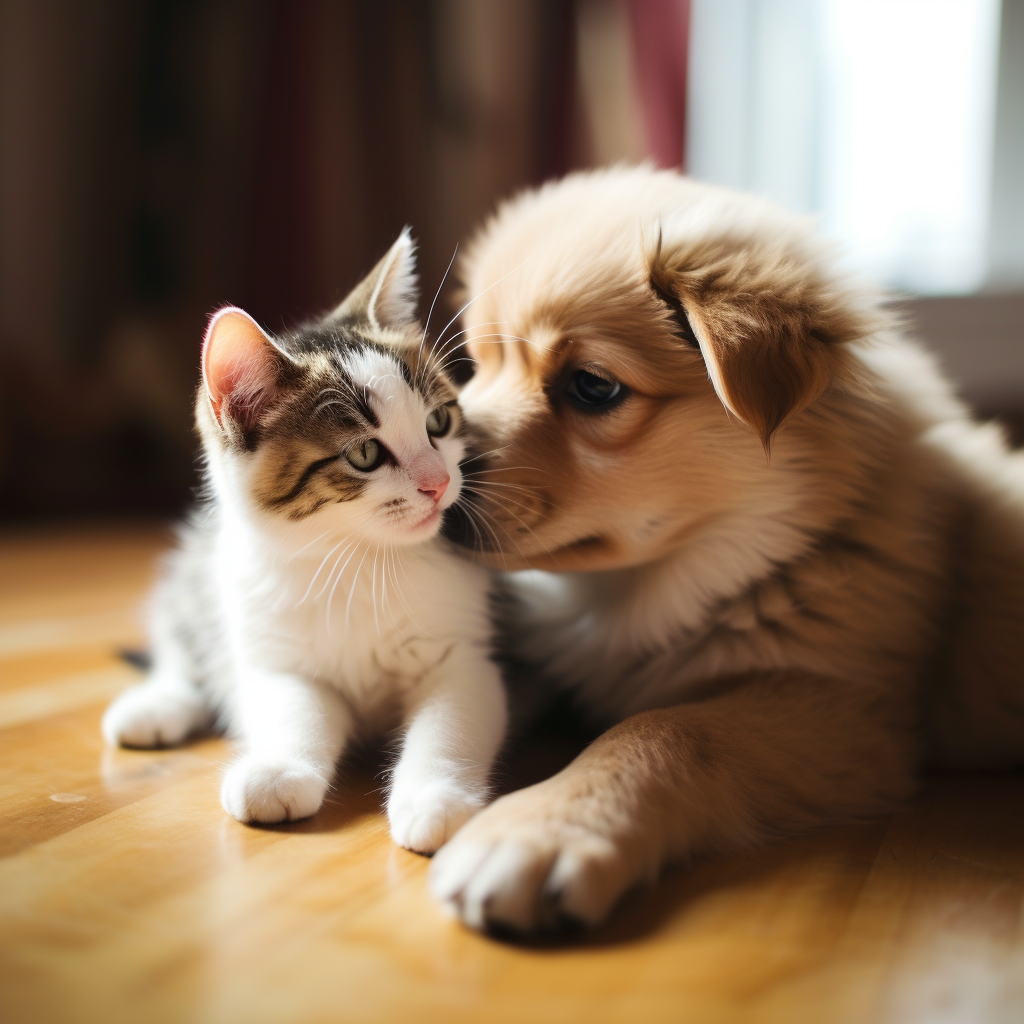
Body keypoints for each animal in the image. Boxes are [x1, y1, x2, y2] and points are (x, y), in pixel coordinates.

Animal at [99, 232, 507, 856]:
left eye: (440, 421)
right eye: (364, 453)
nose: (439, 484)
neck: (361, 561)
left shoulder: (464, 653)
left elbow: (453, 718)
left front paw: (436, 798)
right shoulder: (278, 651)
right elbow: (291, 706)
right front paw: (277, 771)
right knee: (184, 641)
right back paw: (155, 705)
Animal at [428, 163, 1024, 933]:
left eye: (592, 386)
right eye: (478, 366)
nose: (433, 486)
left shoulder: (847, 712)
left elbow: (667, 730)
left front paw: (537, 829)